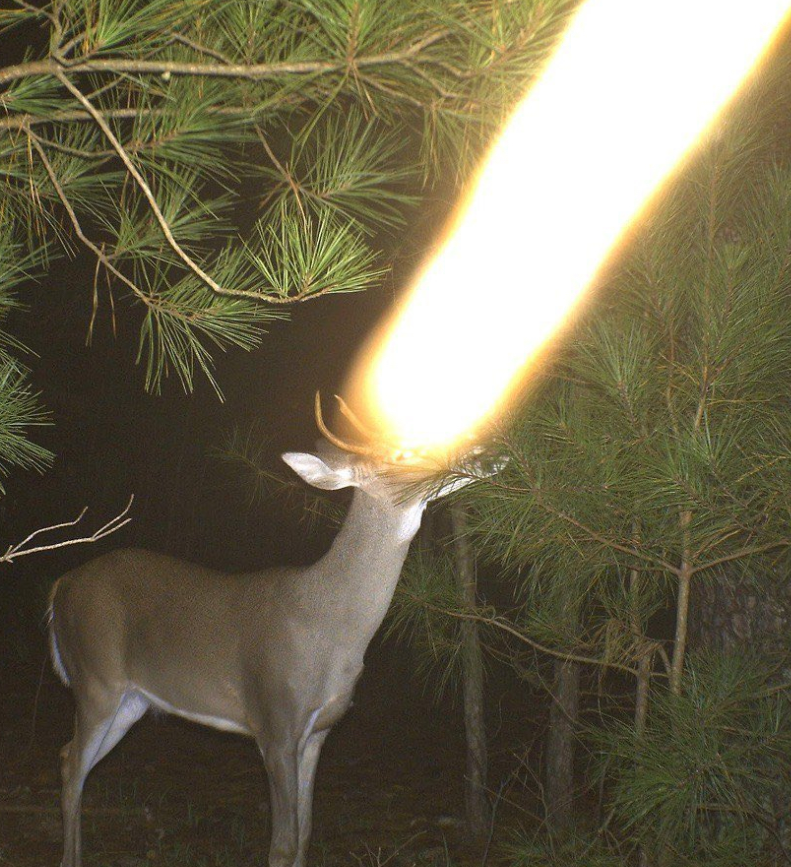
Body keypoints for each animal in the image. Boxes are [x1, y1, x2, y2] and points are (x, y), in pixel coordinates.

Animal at [47, 395, 498, 867]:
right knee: (71, 765)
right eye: (403, 455)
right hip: (96, 678)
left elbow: (304, 834)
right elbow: (282, 844)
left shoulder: (318, 731)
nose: (486, 454)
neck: (332, 628)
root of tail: (61, 586)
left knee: (70, 759)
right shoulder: (274, 718)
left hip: (131, 700)